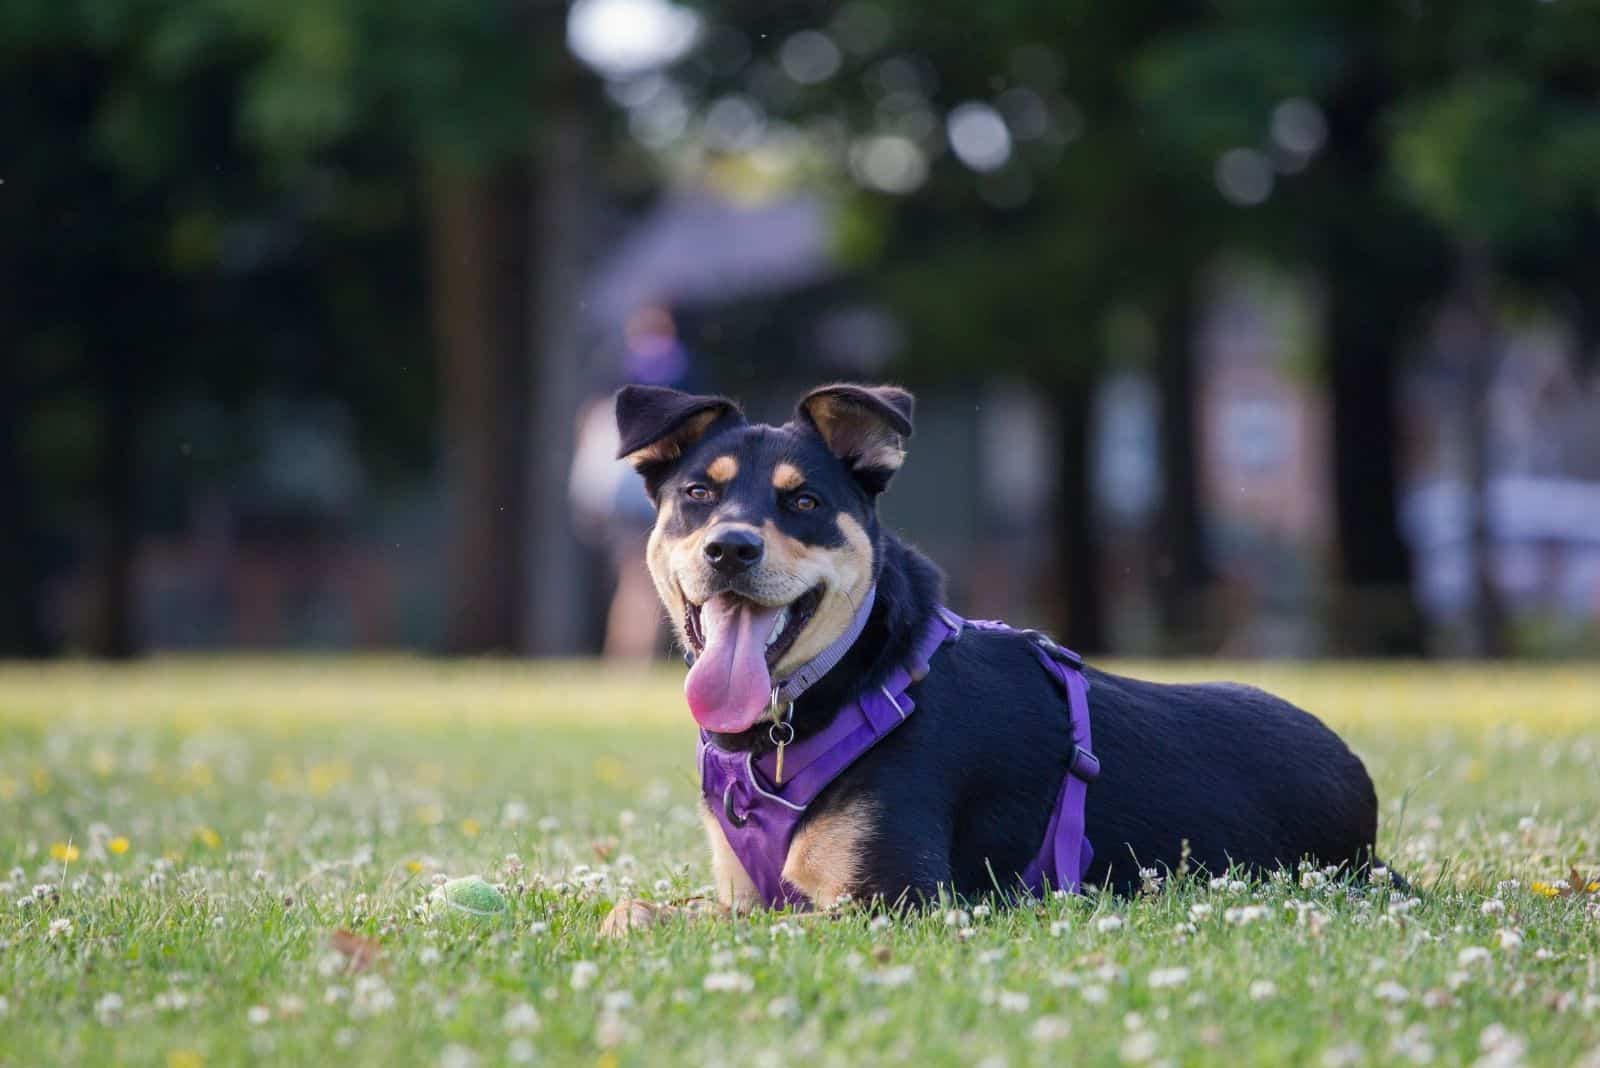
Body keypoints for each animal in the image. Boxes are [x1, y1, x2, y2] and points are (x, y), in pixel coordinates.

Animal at [601, 382, 1388, 927]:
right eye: (698, 493)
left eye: (804, 504)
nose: (731, 548)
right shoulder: (743, 890)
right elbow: (638, 911)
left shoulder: (890, 899)